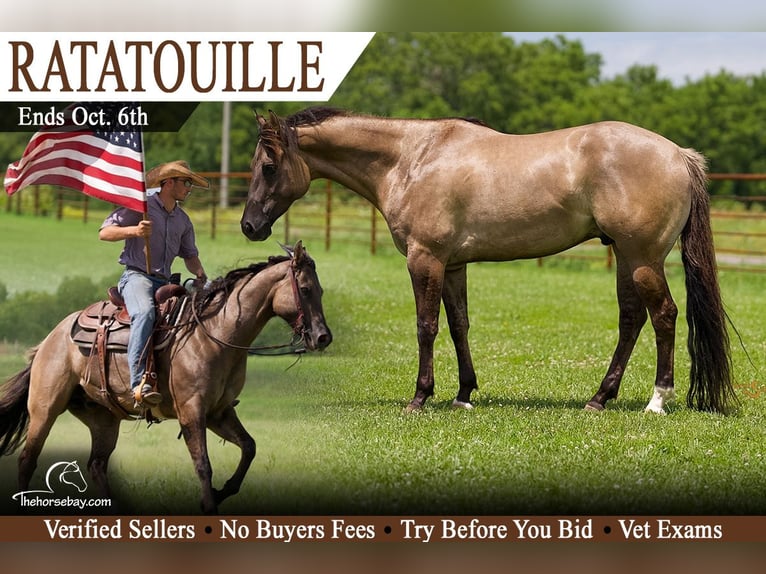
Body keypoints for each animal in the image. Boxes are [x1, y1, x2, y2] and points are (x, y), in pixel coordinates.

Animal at [0, 241, 332, 514]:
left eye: (320, 291)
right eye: (305, 289)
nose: (323, 337)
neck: (215, 334)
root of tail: (49, 340)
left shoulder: (219, 412)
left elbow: (249, 448)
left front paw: (221, 492)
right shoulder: (192, 412)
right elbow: (203, 465)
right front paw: (209, 505)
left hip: (103, 419)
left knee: (96, 465)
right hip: (45, 408)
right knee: (27, 460)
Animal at [240, 106, 736, 415]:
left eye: (268, 166)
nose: (249, 226)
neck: (412, 158)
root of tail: (679, 155)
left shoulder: (425, 260)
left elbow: (426, 327)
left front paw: (420, 398)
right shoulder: (453, 266)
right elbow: (459, 325)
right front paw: (463, 394)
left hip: (642, 258)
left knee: (664, 315)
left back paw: (657, 400)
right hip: (626, 258)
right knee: (632, 320)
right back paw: (599, 397)